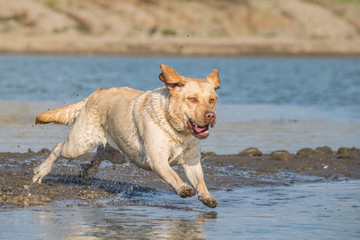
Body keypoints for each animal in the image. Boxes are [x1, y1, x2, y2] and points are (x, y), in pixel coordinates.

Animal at [32, 64, 219, 208]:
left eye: (212, 100)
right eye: (192, 99)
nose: (211, 116)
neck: (177, 129)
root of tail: (95, 93)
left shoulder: (191, 160)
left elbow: (200, 181)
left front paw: (207, 196)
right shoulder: (157, 157)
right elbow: (172, 175)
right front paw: (183, 188)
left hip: (122, 152)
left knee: (100, 153)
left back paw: (89, 171)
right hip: (79, 145)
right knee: (59, 147)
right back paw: (41, 171)